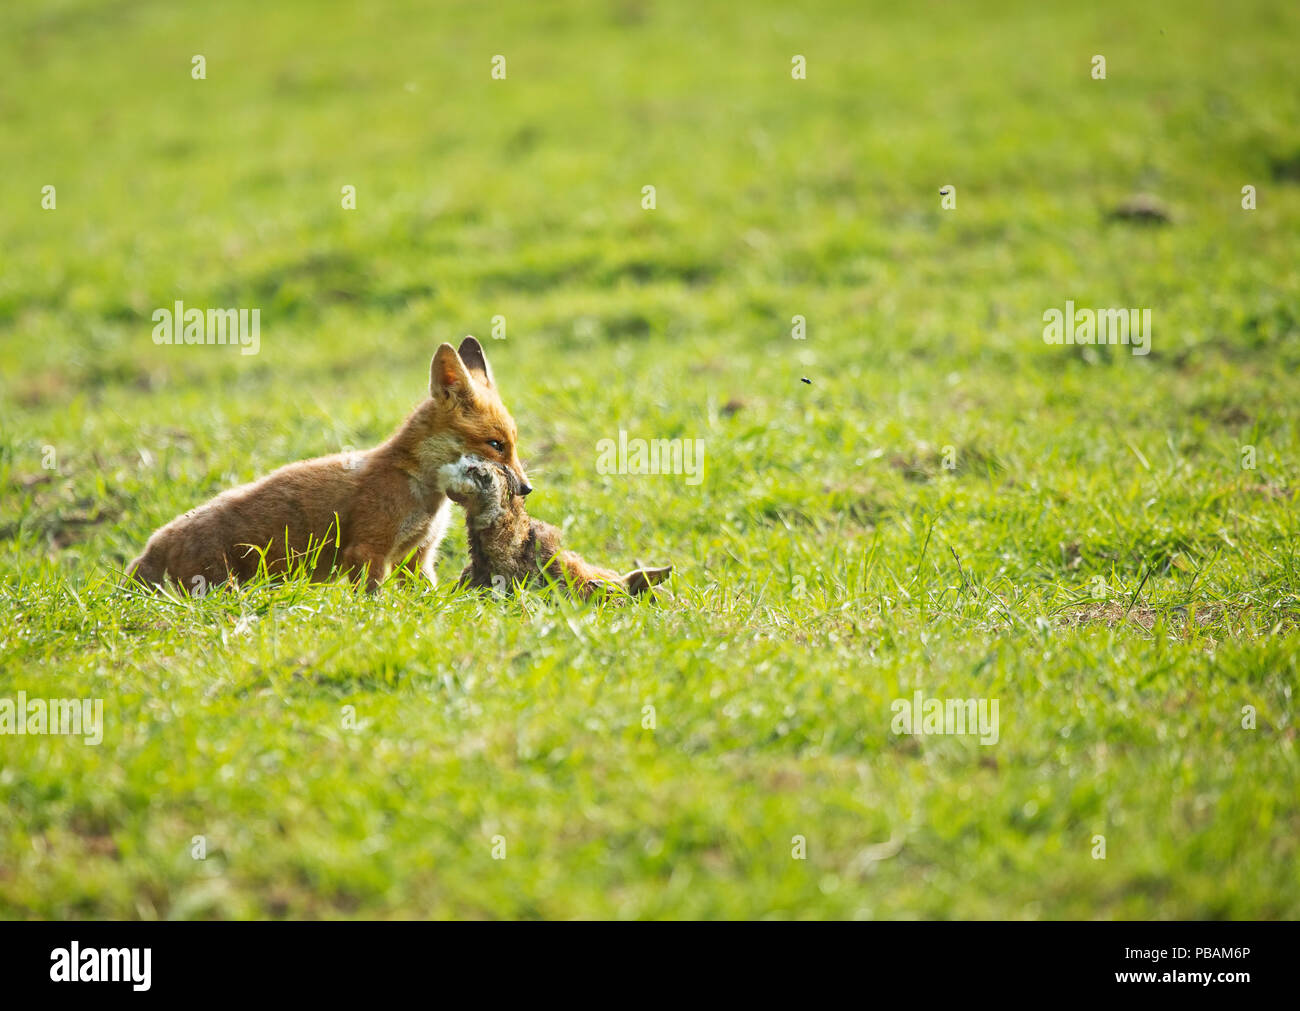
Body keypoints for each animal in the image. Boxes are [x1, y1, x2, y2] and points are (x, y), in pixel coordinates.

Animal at [126, 337, 529, 594]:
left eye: (513, 443)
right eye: (496, 445)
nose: (526, 489)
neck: (415, 486)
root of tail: (153, 543)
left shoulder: (417, 559)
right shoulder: (367, 552)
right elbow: (374, 602)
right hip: (221, 586)